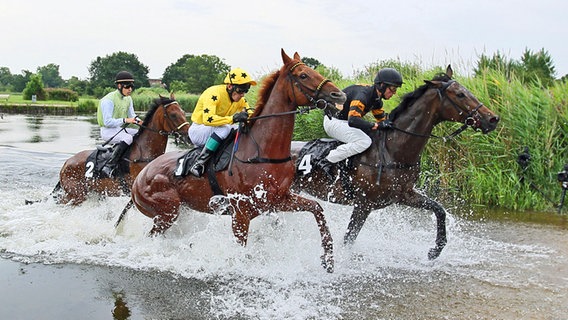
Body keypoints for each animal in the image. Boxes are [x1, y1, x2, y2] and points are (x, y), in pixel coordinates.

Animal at [57, 95, 191, 205]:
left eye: (183, 112)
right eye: (173, 115)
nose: (189, 136)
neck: (144, 152)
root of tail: (67, 162)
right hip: (75, 195)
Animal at [130, 48, 346, 272]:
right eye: (303, 75)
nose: (339, 94)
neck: (262, 150)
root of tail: (140, 177)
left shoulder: (277, 200)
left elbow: (317, 209)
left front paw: (328, 258)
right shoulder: (241, 212)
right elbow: (241, 245)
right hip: (166, 213)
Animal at [290, 65, 500, 260]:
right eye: (460, 94)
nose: (493, 119)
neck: (393, 151)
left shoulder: (404, 195)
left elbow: (439, 210)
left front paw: (435, 250)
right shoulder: (363, 205)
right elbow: (349, 239)